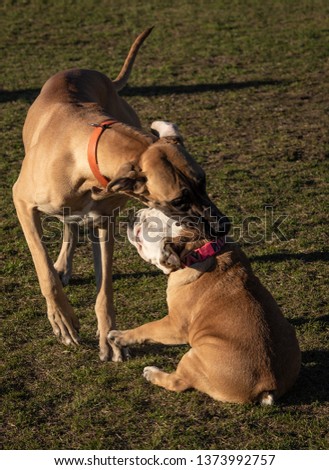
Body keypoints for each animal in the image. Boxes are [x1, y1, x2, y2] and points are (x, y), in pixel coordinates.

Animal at [12, 28, 228, 360]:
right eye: (177, 201)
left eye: (203, 182)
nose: (222, 226)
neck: (85, 153)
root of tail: (96, 73)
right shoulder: (21, 202)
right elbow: (43, 268)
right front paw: (63, 320)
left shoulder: (105, 222)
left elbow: (104, 289)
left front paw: (107, 337)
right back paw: (62, 269)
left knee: (70, 225)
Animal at [107, 209, 300, 404]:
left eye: (148, 223)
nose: (134, 214)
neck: (201, 250)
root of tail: (268, 386)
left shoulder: (174, 325)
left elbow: (147, 328)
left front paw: (120, 336)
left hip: (194, 357)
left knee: (178, 382)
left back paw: (152, 373)